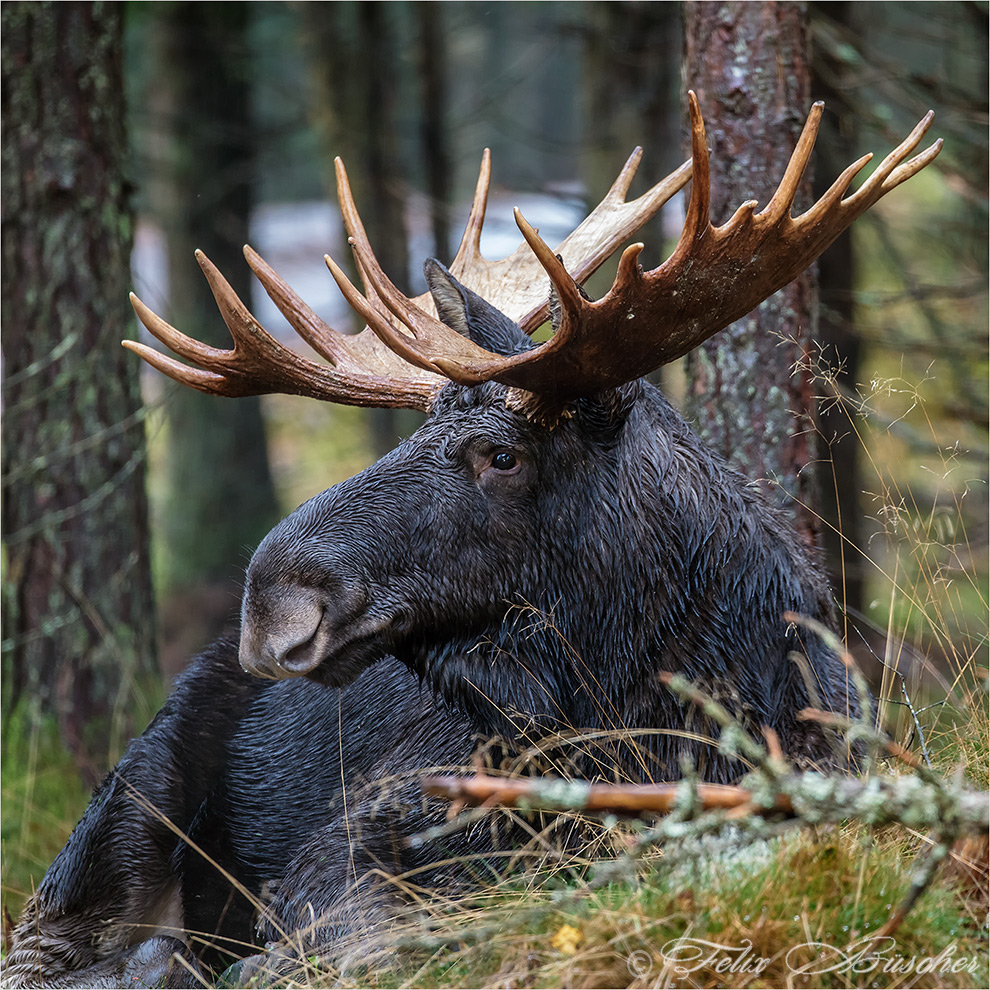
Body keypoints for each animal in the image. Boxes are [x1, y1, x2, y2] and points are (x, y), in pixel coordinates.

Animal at [0, 95, 940, 990]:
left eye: (502, 453)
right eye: (420, 425)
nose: (270, 603)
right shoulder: (358, 833)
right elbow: (369, 941)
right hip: (128, 803)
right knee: (52, 946)